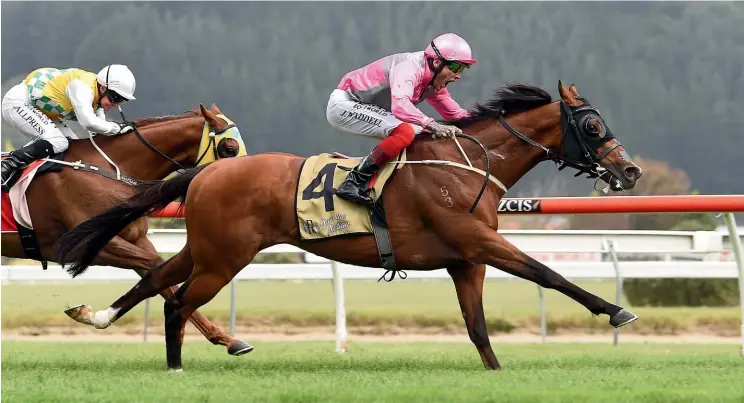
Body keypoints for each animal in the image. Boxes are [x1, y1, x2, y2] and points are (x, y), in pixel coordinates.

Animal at [1, 104, 254, 356]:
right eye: (229, 148)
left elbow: (160, 278)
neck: (111, 169)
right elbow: (157, 267)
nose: (241, 180)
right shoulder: (91, 246)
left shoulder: (136, 239)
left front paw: (229, 340)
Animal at [55, 82, 644, 372]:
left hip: (205, 248)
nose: (631, 171)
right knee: (178, 301)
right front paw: (617, 310)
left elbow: (478, 326)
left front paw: (495, 372)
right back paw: (177, 367)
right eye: (593, 124)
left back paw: (99, 316)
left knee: (156, 279)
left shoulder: (466, 259)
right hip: (225, 257)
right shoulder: (479, 240)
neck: (468, 166)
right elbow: (547, 273)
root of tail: (207, 169)